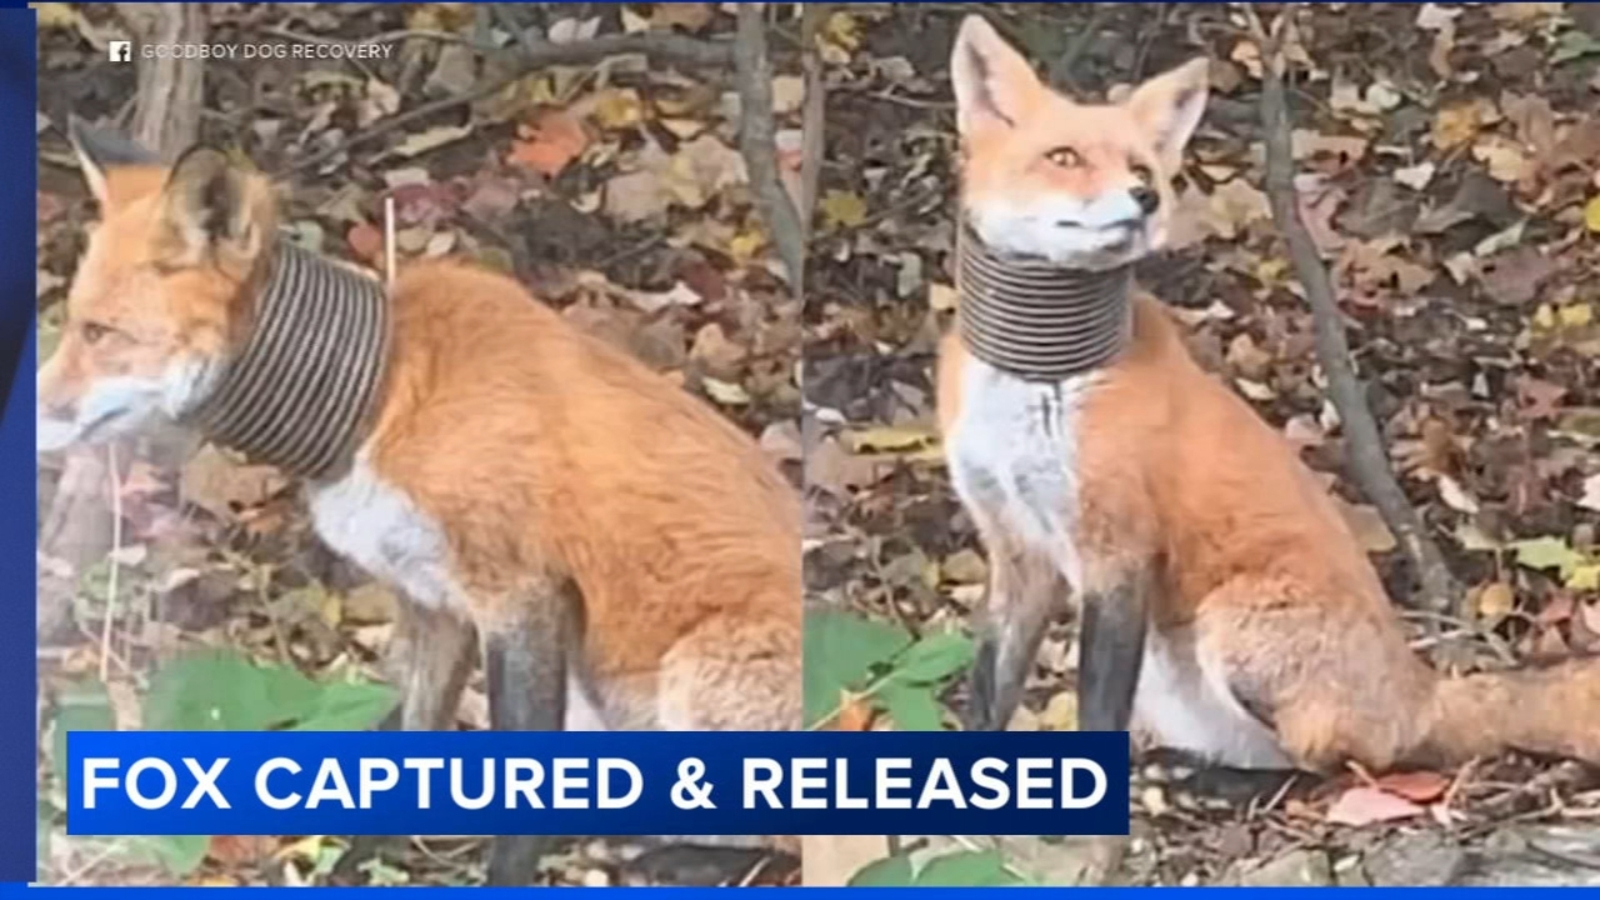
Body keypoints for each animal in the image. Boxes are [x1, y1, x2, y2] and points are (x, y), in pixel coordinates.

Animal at [39, 120, 802, 885]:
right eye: (72, 323)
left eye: (99, 333)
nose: (30, 413)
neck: (381, 400)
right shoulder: (434, 603)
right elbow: (409, 747)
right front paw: (357, 864)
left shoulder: (520, 597)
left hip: (698, 674)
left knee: (786, 844)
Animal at [940, 15, 1599, 783]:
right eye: (1064, 157)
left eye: (1141, 169)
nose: (1144, 199)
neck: (1039, 375)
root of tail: (1423, 689)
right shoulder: (1018, 550)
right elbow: (988, 693)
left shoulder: (1118, 552)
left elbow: (1096, 712)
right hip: (1172, 681)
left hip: (1233, 626)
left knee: (1342, 761)